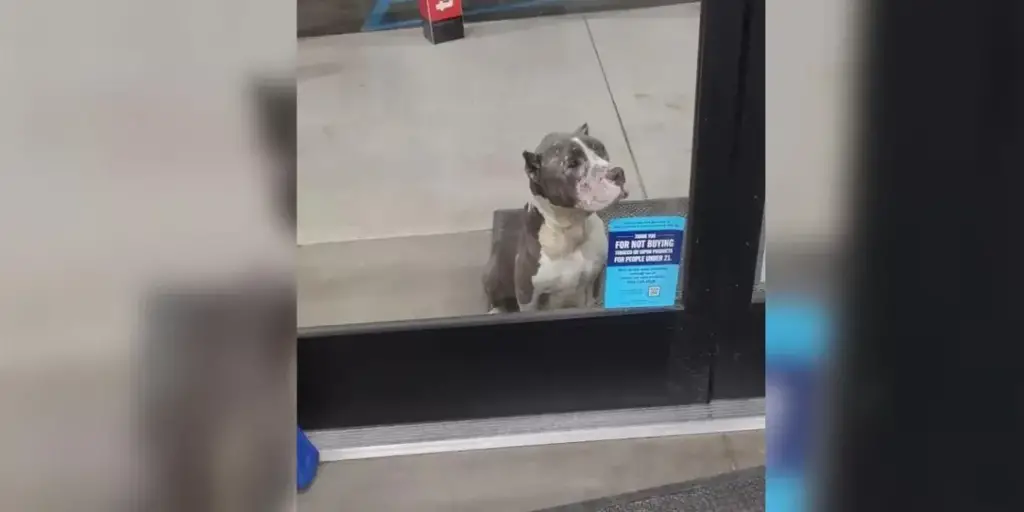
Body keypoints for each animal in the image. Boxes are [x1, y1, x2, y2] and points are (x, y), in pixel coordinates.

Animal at [483, 124, 626, 311]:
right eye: (572, 164)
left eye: (601, 149)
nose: (618, 173)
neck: (572, 228)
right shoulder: (527, 295)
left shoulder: (594, 282)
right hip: (494, 275)